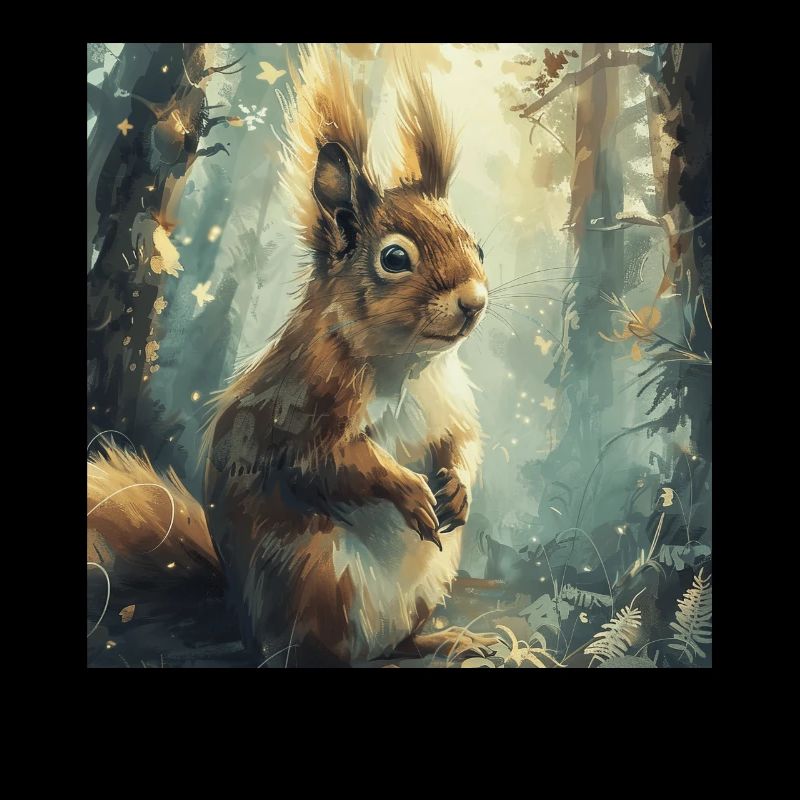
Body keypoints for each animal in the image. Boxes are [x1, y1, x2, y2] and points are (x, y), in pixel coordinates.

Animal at [88, 45, 495, 667]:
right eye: (395, 258)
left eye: (478, 246)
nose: (474, 302)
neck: (408, 363)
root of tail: (244, 619)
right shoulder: (303, 404)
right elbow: (331, 461)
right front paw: (411, 492)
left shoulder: (451, 406)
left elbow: (463, 443)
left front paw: (457, 489)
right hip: (318, 576)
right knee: (313, 653)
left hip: (426, 582)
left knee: (397, 644)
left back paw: (449, 639)